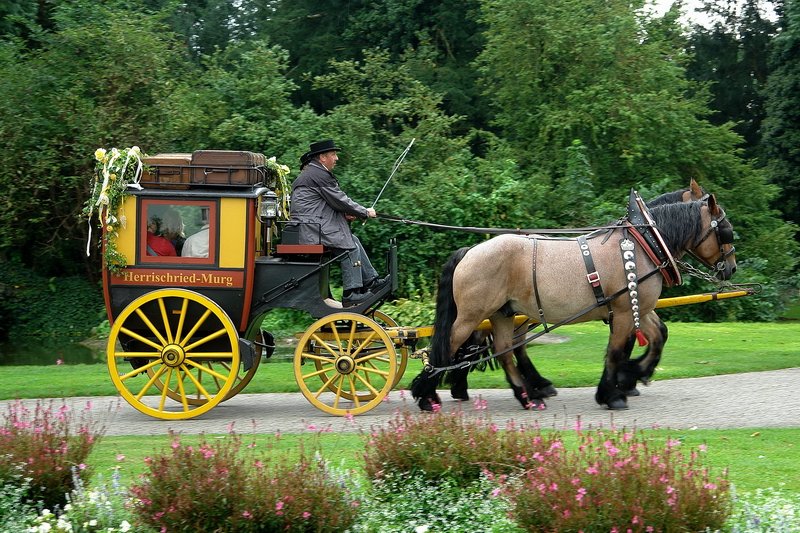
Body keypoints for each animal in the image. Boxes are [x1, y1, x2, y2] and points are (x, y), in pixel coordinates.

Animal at [416, 192, 736, 412]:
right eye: (725, 231)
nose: (731, 268)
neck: (644, 243)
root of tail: (471, 250)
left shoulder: (638, 308)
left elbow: (657, 337)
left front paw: (631, 375)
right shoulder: (623, 310)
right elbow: (616, 351)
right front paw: (614, 393)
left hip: (503, 313)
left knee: (504, 350)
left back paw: (527, 396)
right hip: (473, 314)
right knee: (448, 346)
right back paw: (427, 394)